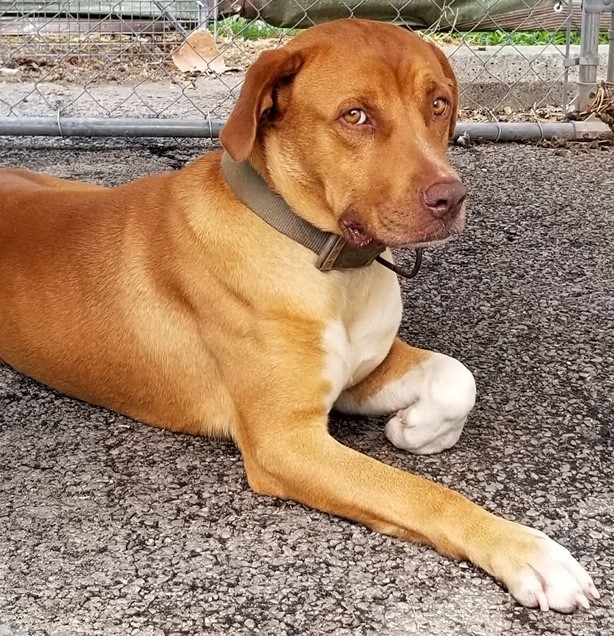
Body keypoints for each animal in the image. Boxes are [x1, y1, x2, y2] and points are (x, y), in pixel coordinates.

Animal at [0, 19, 600, 612]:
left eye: (438, 103)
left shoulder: (359, 373)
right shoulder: (285, 440)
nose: (451, 199)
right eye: (355, 115)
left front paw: (418, 429)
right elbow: (417, 492)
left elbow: (457, 377)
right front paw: (528, 552)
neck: (331, 263)